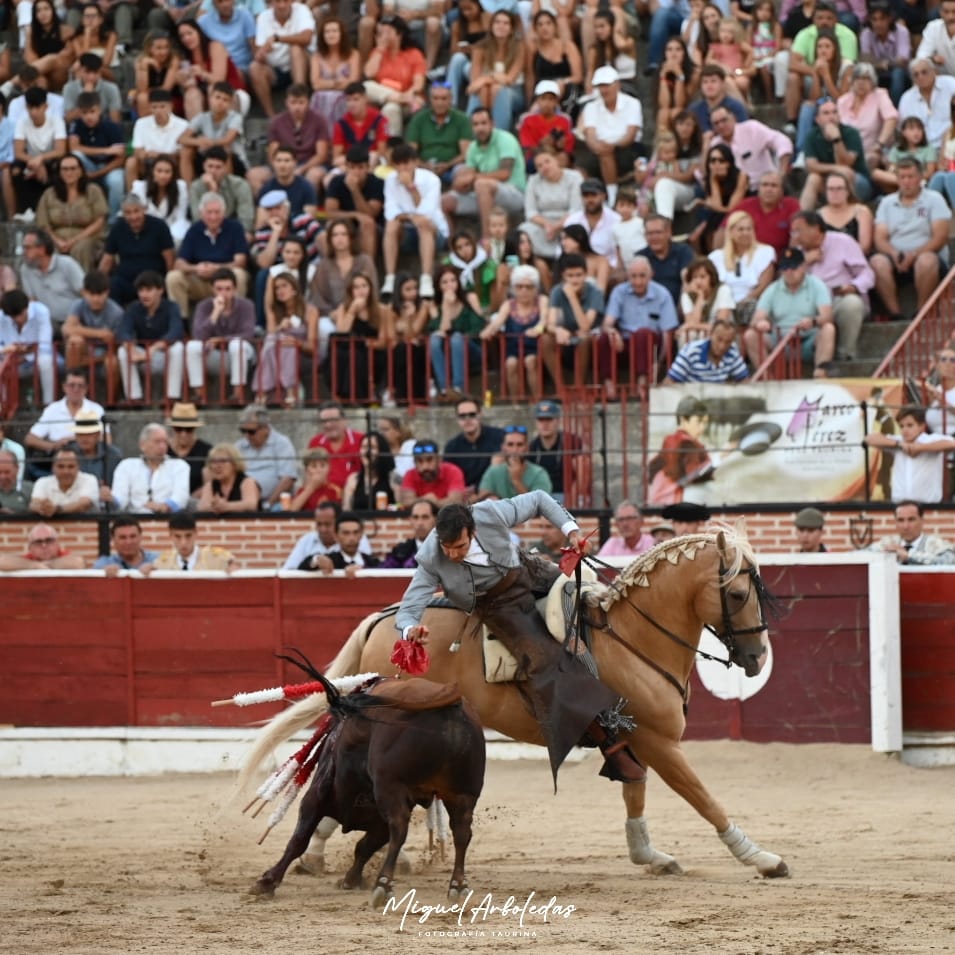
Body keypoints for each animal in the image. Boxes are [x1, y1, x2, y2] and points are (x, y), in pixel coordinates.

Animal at [236, 672, 490, 904]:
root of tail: (450, 705)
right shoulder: (378, 819)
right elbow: (364, 846)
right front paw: (351, 879)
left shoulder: (316, 795)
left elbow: (299, 840)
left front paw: (267, 882)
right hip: (463, 793)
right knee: (461, 832)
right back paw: (458, 885)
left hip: (391, 787)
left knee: (400, 827)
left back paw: (384, 884)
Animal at [318, 532, 788, 880]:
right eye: (739, 593)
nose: (758, 657)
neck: (633, 637)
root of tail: (386, 623)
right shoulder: (660, 741)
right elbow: (703, 798)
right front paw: (761, 858)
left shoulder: (634, 738)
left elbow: (635, 793)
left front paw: (649, 856)